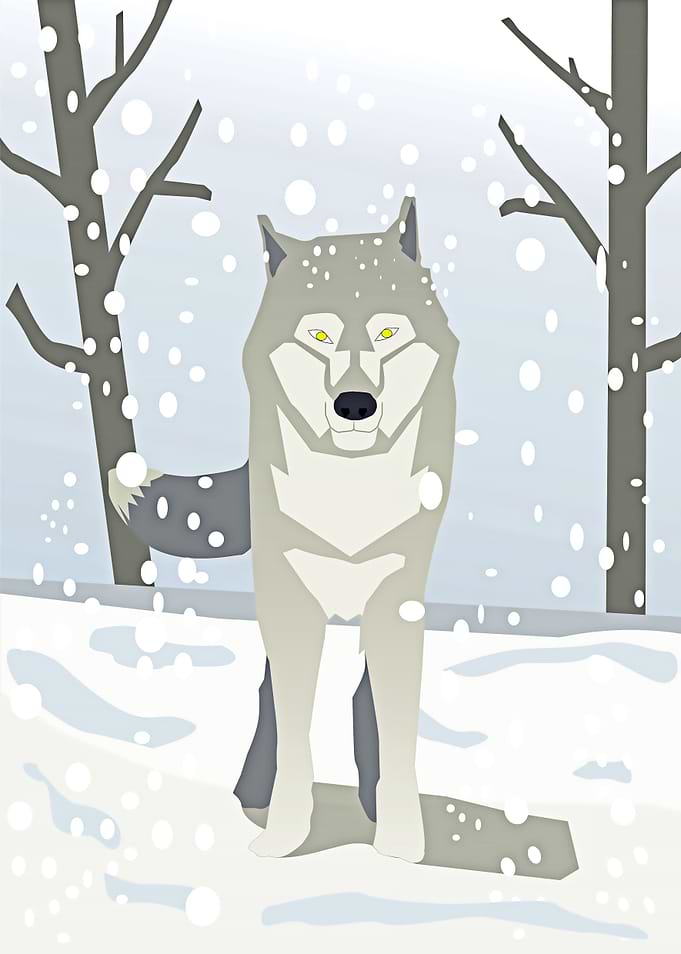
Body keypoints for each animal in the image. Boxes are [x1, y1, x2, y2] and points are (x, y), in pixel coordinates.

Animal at [109, 196, 458, 862]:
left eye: (387, 333)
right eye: (318, 336)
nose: (355, 405)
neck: (348, 490)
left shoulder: (397, 602)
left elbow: (393, 725)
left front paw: (401, 842)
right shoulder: (288, 603)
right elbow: (294, 725)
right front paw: (285, 838)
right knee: (271, 701)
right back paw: (255, 796)